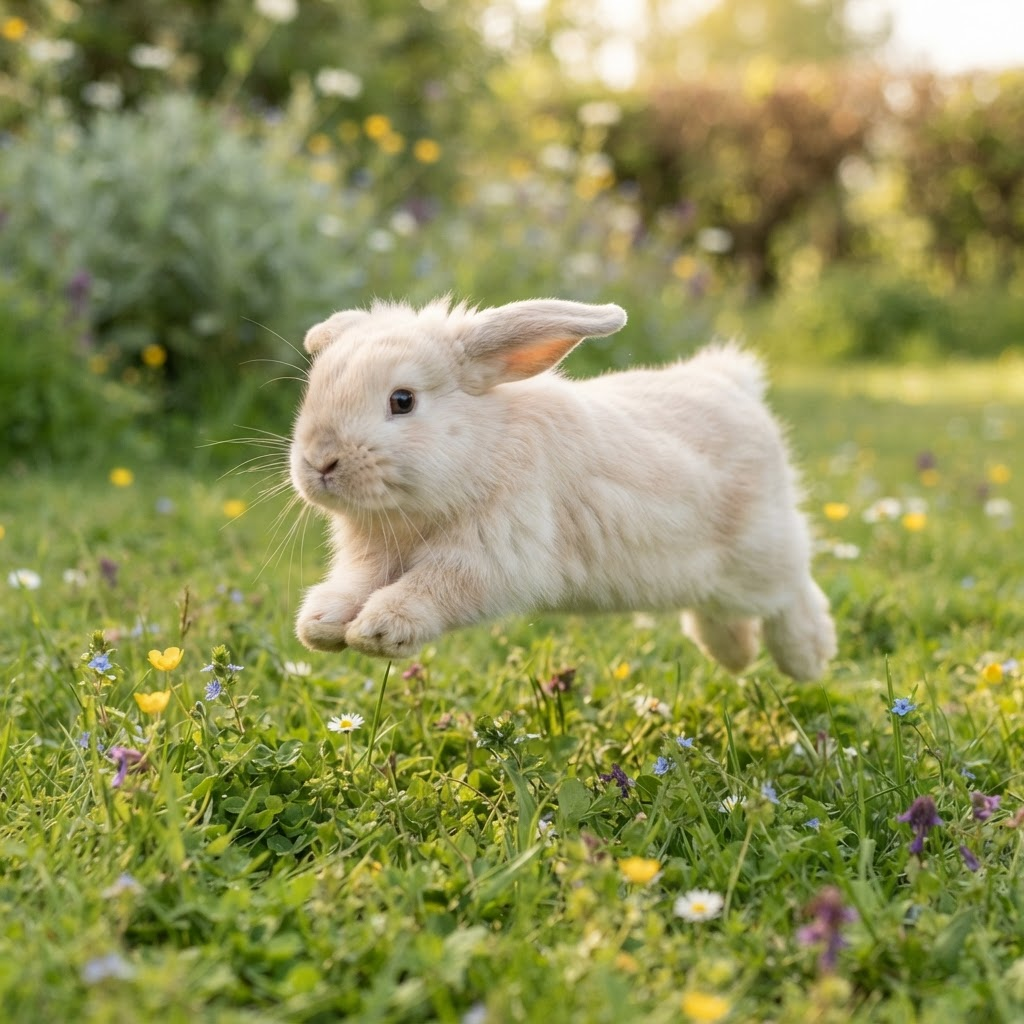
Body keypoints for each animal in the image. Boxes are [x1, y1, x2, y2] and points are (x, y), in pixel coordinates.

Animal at [289, 296, 836, 680]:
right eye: (313, 391)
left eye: (402, 400)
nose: (319, 461)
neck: (483, 446)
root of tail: (734, 385)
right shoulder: (373, 556)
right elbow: (352, 585)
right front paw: (320, 625)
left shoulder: (488, 557)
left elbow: (432, 588)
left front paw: (378, 630)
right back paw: (735, 656)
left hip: (759, 554)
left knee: (794, 591)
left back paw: (807, 659)